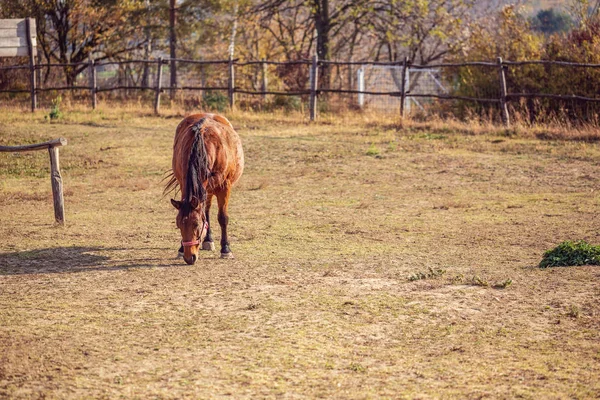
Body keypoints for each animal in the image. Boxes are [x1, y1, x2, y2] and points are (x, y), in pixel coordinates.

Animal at [164, 111, 244, 266]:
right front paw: (181, 248)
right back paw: (208, 240)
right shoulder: (184, 183)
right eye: (178, 224)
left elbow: (223, 217)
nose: (189, 258)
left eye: (196, 224)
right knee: (205, 210)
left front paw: (226, 249)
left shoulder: (224, 187)